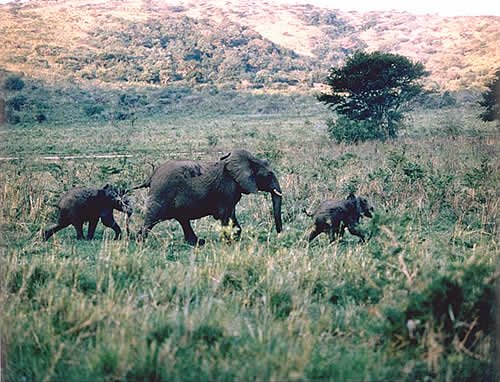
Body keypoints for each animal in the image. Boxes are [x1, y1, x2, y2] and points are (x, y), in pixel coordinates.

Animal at [135, 148, 284, 246]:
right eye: (269, 175)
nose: (279, 234)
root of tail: (152, 176)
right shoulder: (227, 189)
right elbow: (225, 214)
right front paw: (228, 243)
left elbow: (232, 214)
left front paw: (235, 238)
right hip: (161, 192)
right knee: (152, 218)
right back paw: (139, 242)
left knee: (182, 219)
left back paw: (198, 242)